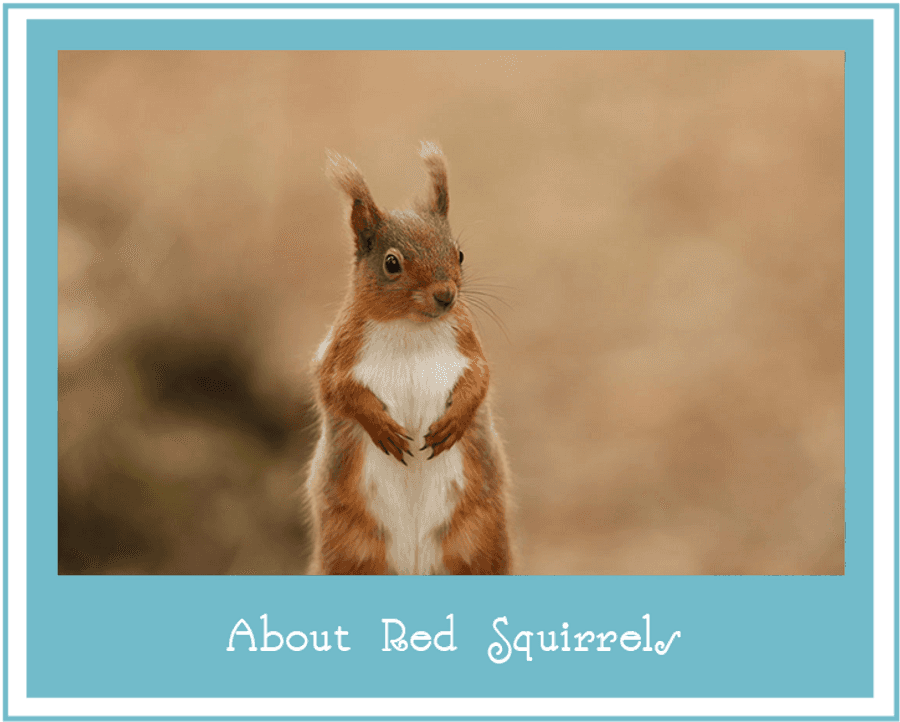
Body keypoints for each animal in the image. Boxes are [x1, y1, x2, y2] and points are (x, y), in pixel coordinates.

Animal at [305, 141, 512, 575]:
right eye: (391, 263)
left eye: (460, 254)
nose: (446, 296)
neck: (410, 328)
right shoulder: (336, 354)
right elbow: (336, 390)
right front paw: (380, 426)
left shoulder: (467, 345)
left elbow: (480, 379)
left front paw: (454, 422)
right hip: (350, 548)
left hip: (480, 539)